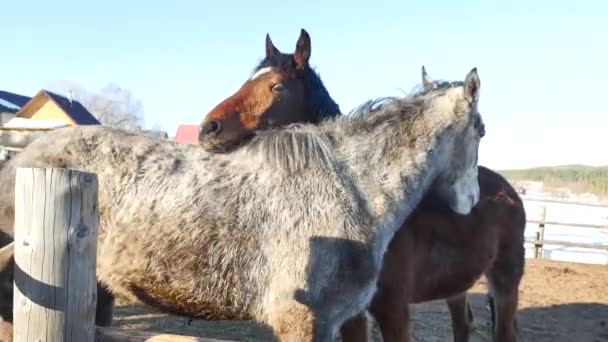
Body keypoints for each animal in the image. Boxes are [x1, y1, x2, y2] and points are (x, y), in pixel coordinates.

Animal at [201, 28, 528, 340]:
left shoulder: (392, 307)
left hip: (505, 280)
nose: (208, 129)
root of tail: (510, 191)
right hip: (457, 287)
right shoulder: (350, 314)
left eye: (277, 86)